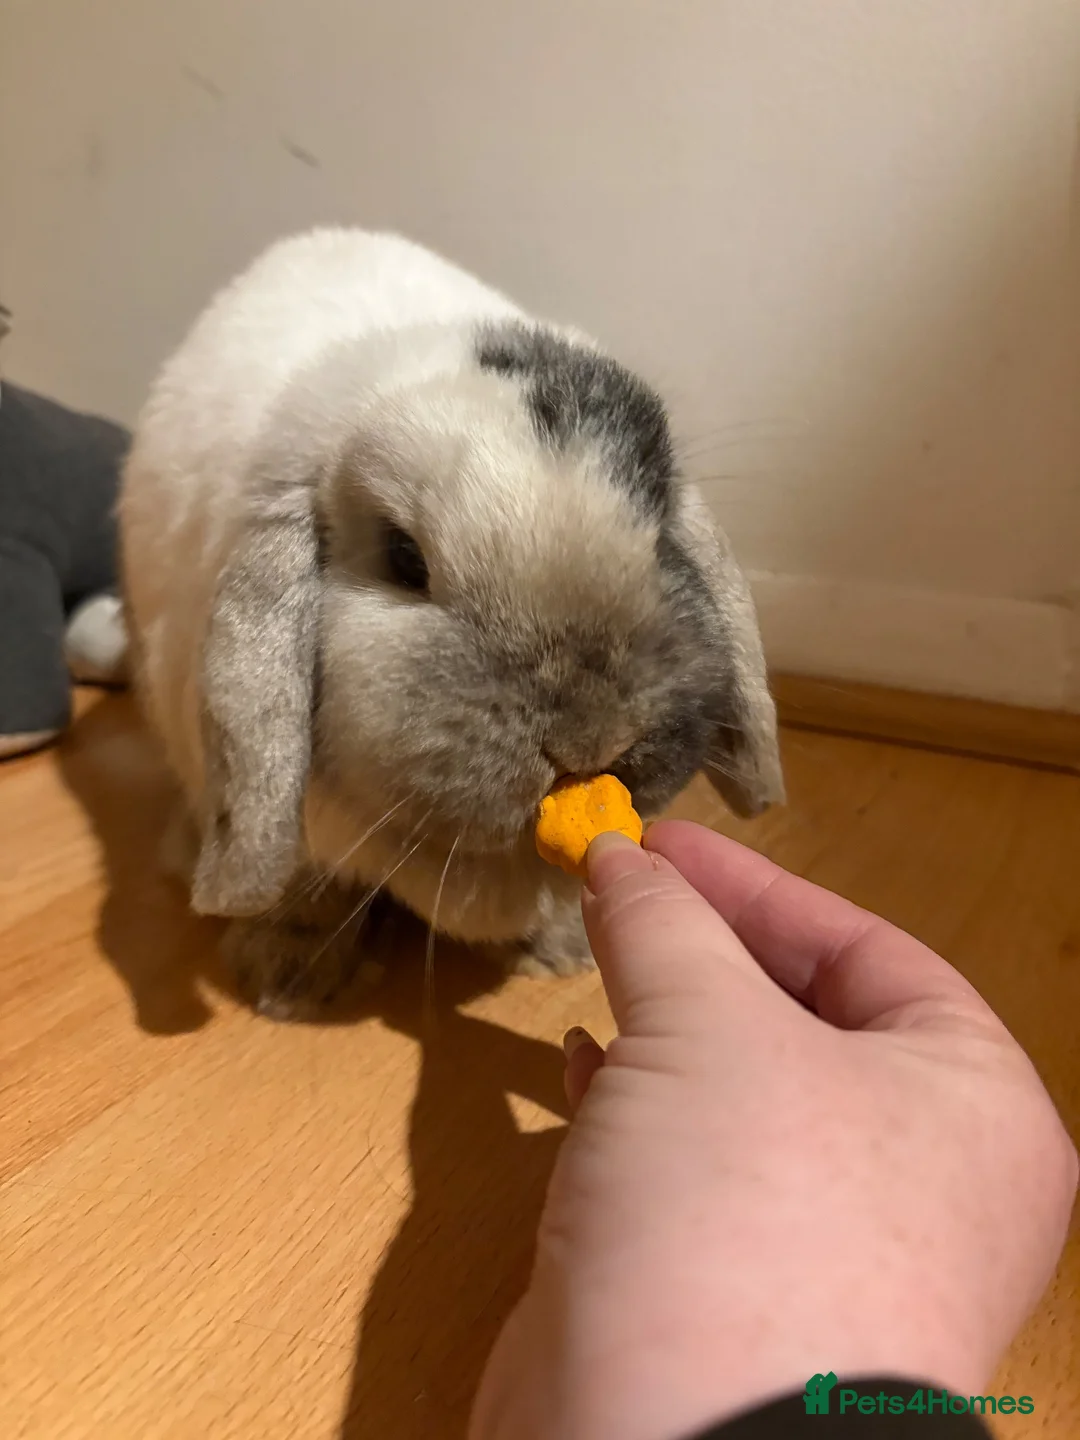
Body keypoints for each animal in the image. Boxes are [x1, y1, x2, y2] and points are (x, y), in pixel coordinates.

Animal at [119, 228, 784, 1017]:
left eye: (660, 538)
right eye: (405, 559)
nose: (590, 739)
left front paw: (561, 952)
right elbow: (304, 887)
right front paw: (287, 984)